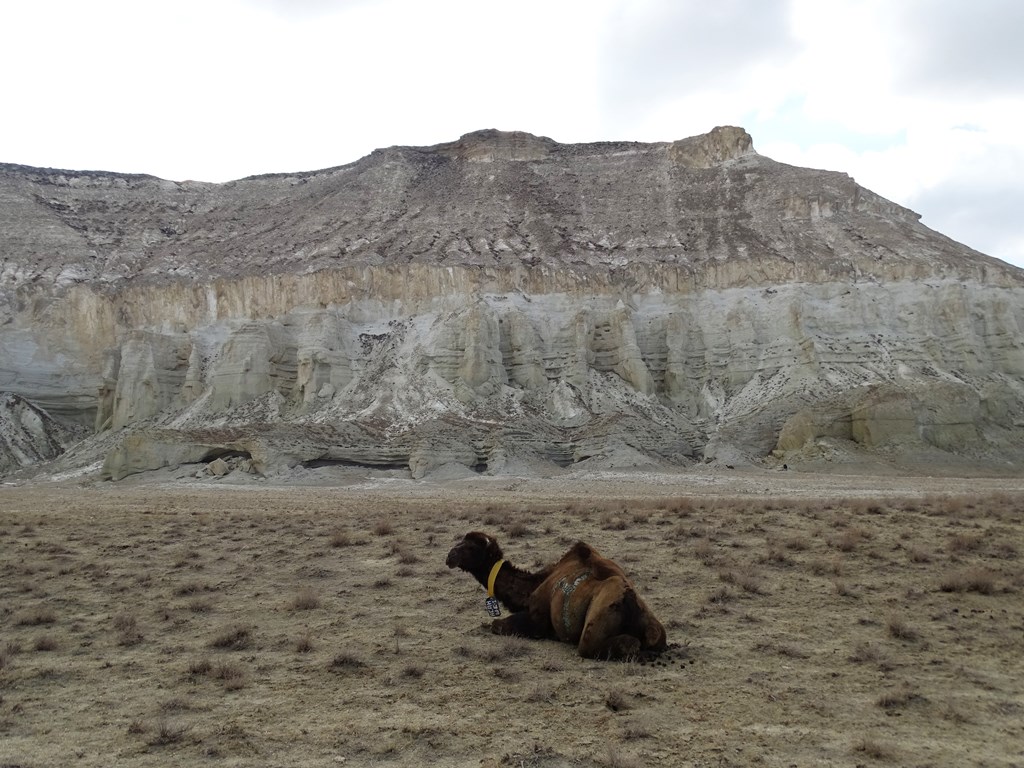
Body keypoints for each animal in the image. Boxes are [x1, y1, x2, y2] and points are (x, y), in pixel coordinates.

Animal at [444, 536, 667, 663]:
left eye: (471, 547)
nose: (450, 556)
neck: (533, 585)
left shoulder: (537, 619)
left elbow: (496, 625)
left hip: (593, 633)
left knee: (621, 644)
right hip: (658, 630)